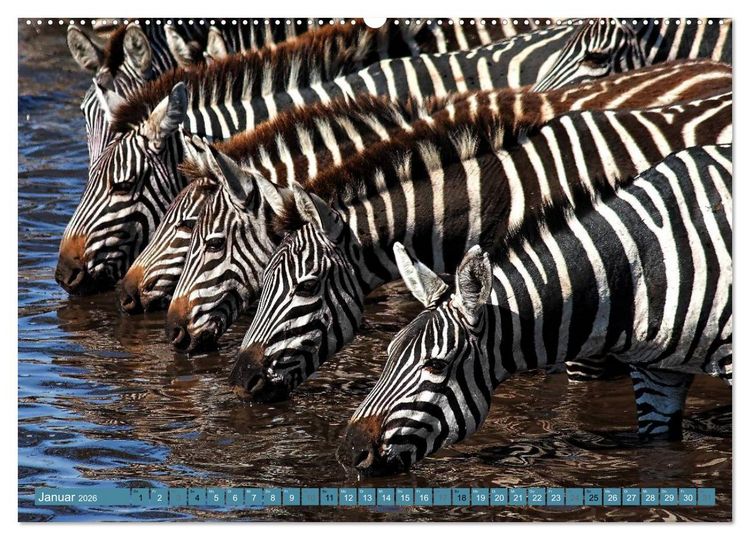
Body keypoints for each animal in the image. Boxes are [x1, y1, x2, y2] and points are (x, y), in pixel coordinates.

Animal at [339, 143, 732, 475]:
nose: (350, 451)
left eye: (436, 365)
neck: (648, 266)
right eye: (389, 354)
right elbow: (658, 457)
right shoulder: (656, 376)